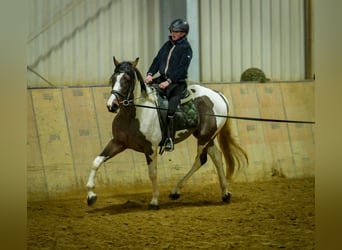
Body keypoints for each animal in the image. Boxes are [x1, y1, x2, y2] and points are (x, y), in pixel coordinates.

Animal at [86, 56, 248, 209]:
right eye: (113, 78)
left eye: (126, 79)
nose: (112, 105)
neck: (136, 113)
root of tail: (219, 95)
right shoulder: (118, 142)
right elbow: (96, 162)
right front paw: (91, 196)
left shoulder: (150, 149)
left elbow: (152, 174)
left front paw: (154, 202)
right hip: (207, 137)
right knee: (217, 158)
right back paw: (225, 194)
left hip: (204, 137)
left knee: (200, 160)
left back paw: (176, 191)